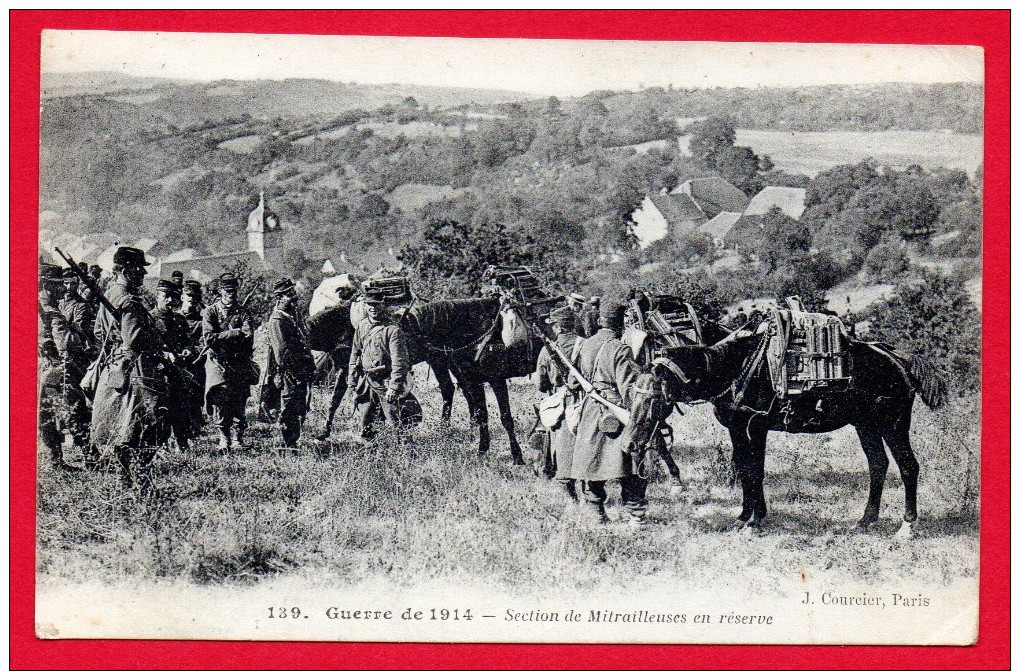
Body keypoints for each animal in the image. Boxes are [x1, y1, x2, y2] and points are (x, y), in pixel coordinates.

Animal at [628, 322, 946, 534]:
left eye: (654, 398)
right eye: (632, 393)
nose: (632, 443)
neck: (734, 370)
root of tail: (899, 359)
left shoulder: (754, 428)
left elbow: (754, 470)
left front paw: (755, 520)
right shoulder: (737, 430)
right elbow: (744, 468)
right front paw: (744, 516)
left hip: (893, 424)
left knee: (908, 466)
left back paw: (907, 526)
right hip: (865, 424)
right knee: (878, 464)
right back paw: (865, 520)